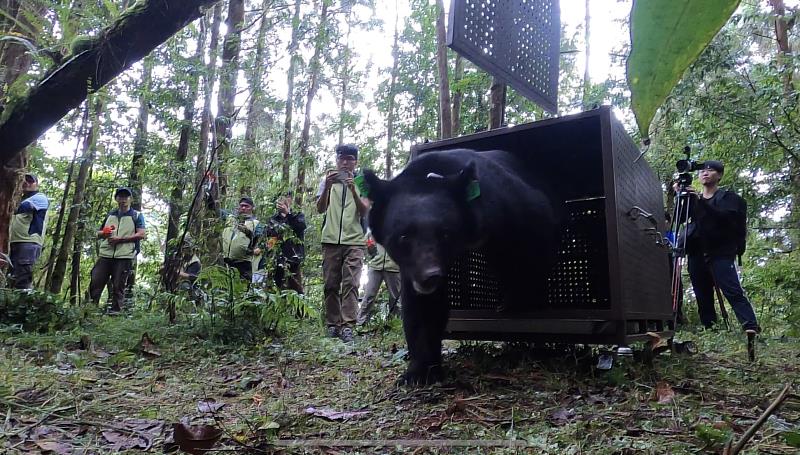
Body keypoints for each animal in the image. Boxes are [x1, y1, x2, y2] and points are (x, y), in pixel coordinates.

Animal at [362, 149, 564, 384]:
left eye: (445, 234)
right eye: (403, 237)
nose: (431, 276)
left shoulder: (511, 205)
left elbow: (535, 238)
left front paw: (527, 300)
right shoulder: (411, 269)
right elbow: (423, 309)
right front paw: (418, 373)